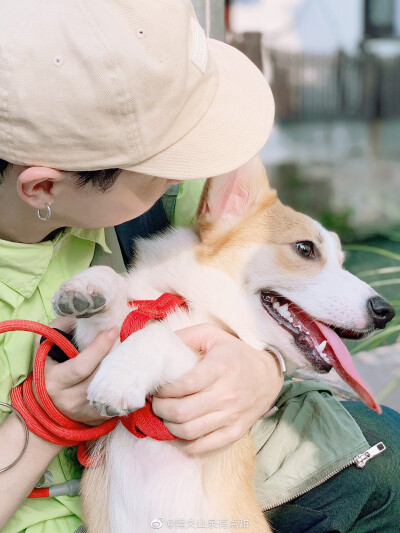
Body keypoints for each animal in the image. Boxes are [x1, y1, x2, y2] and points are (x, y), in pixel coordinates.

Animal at [53, 156, 394, 532]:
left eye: (342, 263)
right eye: (305, 248)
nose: (385, 312)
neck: (197, 304)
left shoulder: (202, 361)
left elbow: (157, 336)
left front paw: (119, 377)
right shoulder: (101, 339)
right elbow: (112, 305)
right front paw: (87, 290)